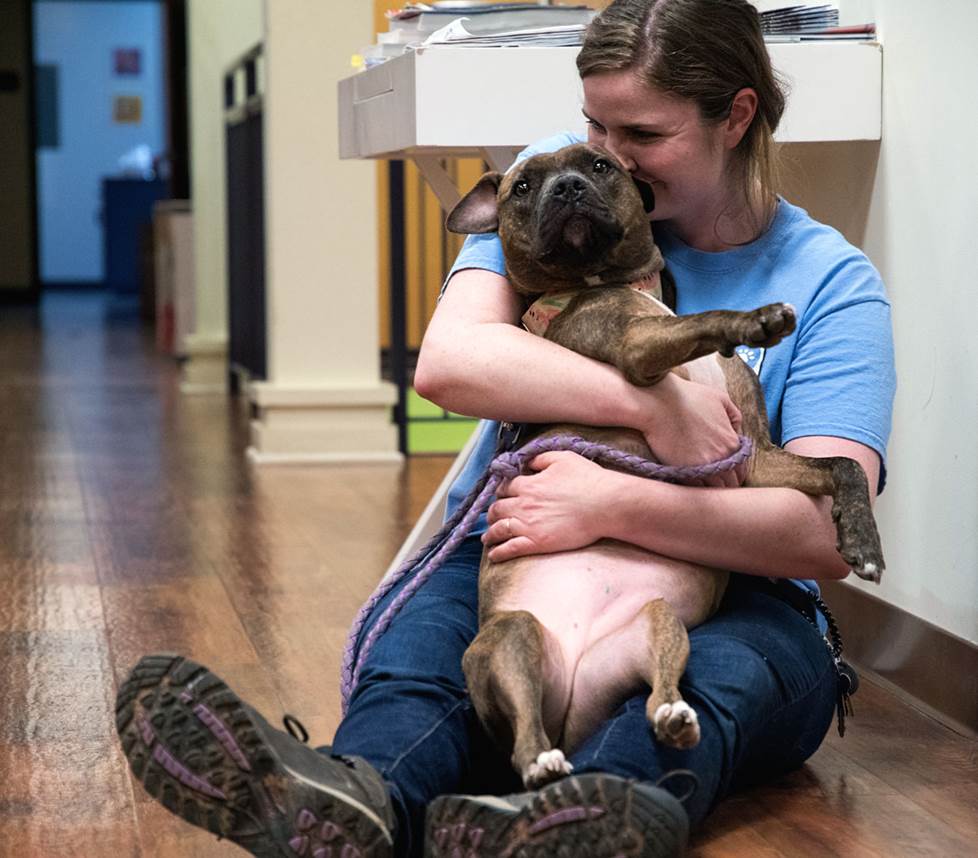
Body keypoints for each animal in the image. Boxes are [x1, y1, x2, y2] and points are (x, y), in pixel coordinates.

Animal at [442, 142, 876, 788]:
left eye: (598, 165)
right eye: (522, 187)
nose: (567, 188)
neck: (606, 282)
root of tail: (574, 697)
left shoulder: (754, 460)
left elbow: (842, 466)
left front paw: (861, 541)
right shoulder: (638, 347)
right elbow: (700, 321)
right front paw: (753, 318)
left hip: (660, 621)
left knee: (657, 691)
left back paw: (672, 714)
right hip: (510, 636)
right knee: (524, 739)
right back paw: (542, 761)